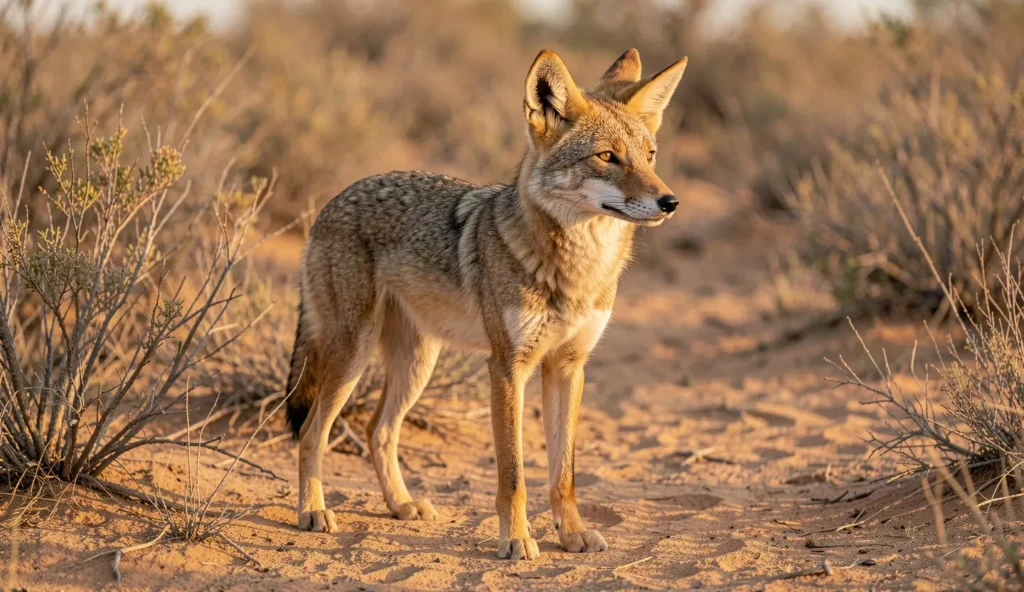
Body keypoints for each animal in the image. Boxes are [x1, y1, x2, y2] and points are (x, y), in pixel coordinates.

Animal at [286, 48, 687, 560]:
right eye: (607, 157)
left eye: (649, 156)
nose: (670, 202)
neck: (577, 269)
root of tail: (330, 203)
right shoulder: (507, 367)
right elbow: (513, 475)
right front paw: (516, 539)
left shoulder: (569, 367)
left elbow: (564, 474)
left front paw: (573, 534)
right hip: (353, 356)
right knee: (312, 431)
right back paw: (312, 511)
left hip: (417, 364)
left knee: (380, 430)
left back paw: (401, 505)